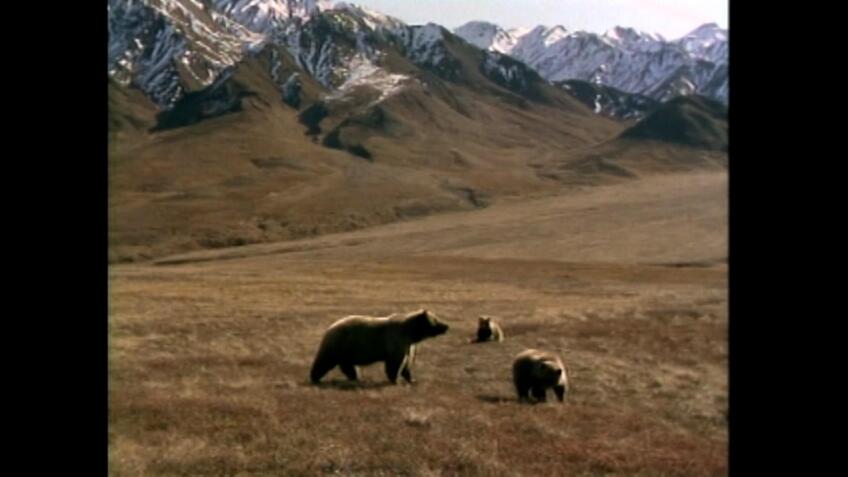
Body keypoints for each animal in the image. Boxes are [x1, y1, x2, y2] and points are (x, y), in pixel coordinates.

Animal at [310, 309, 449, 384]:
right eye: (436, 320)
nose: (446, 326)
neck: (412, 333)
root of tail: (330, 327)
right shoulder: (397, 340)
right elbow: (395, 363)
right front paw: (395, 380)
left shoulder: (409, 345)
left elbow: (407, 363)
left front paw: (412, 379)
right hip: (338, 344)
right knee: (324, 361)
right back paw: (315, 378)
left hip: (346, 351)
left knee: (348, 366)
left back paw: (356, 377)